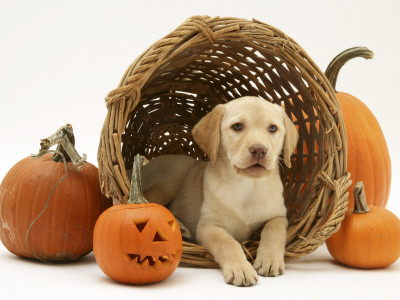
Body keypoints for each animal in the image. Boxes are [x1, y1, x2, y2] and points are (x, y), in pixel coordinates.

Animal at [141, 96, 296, 286]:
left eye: (273, 128)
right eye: (237, 126)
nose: (259, 150)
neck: (248, 187)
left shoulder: (279, 215)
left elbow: (274, 229)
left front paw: (269, 260)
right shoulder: (208, 226)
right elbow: (228, 243)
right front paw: (241, 269)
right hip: (173, 176)